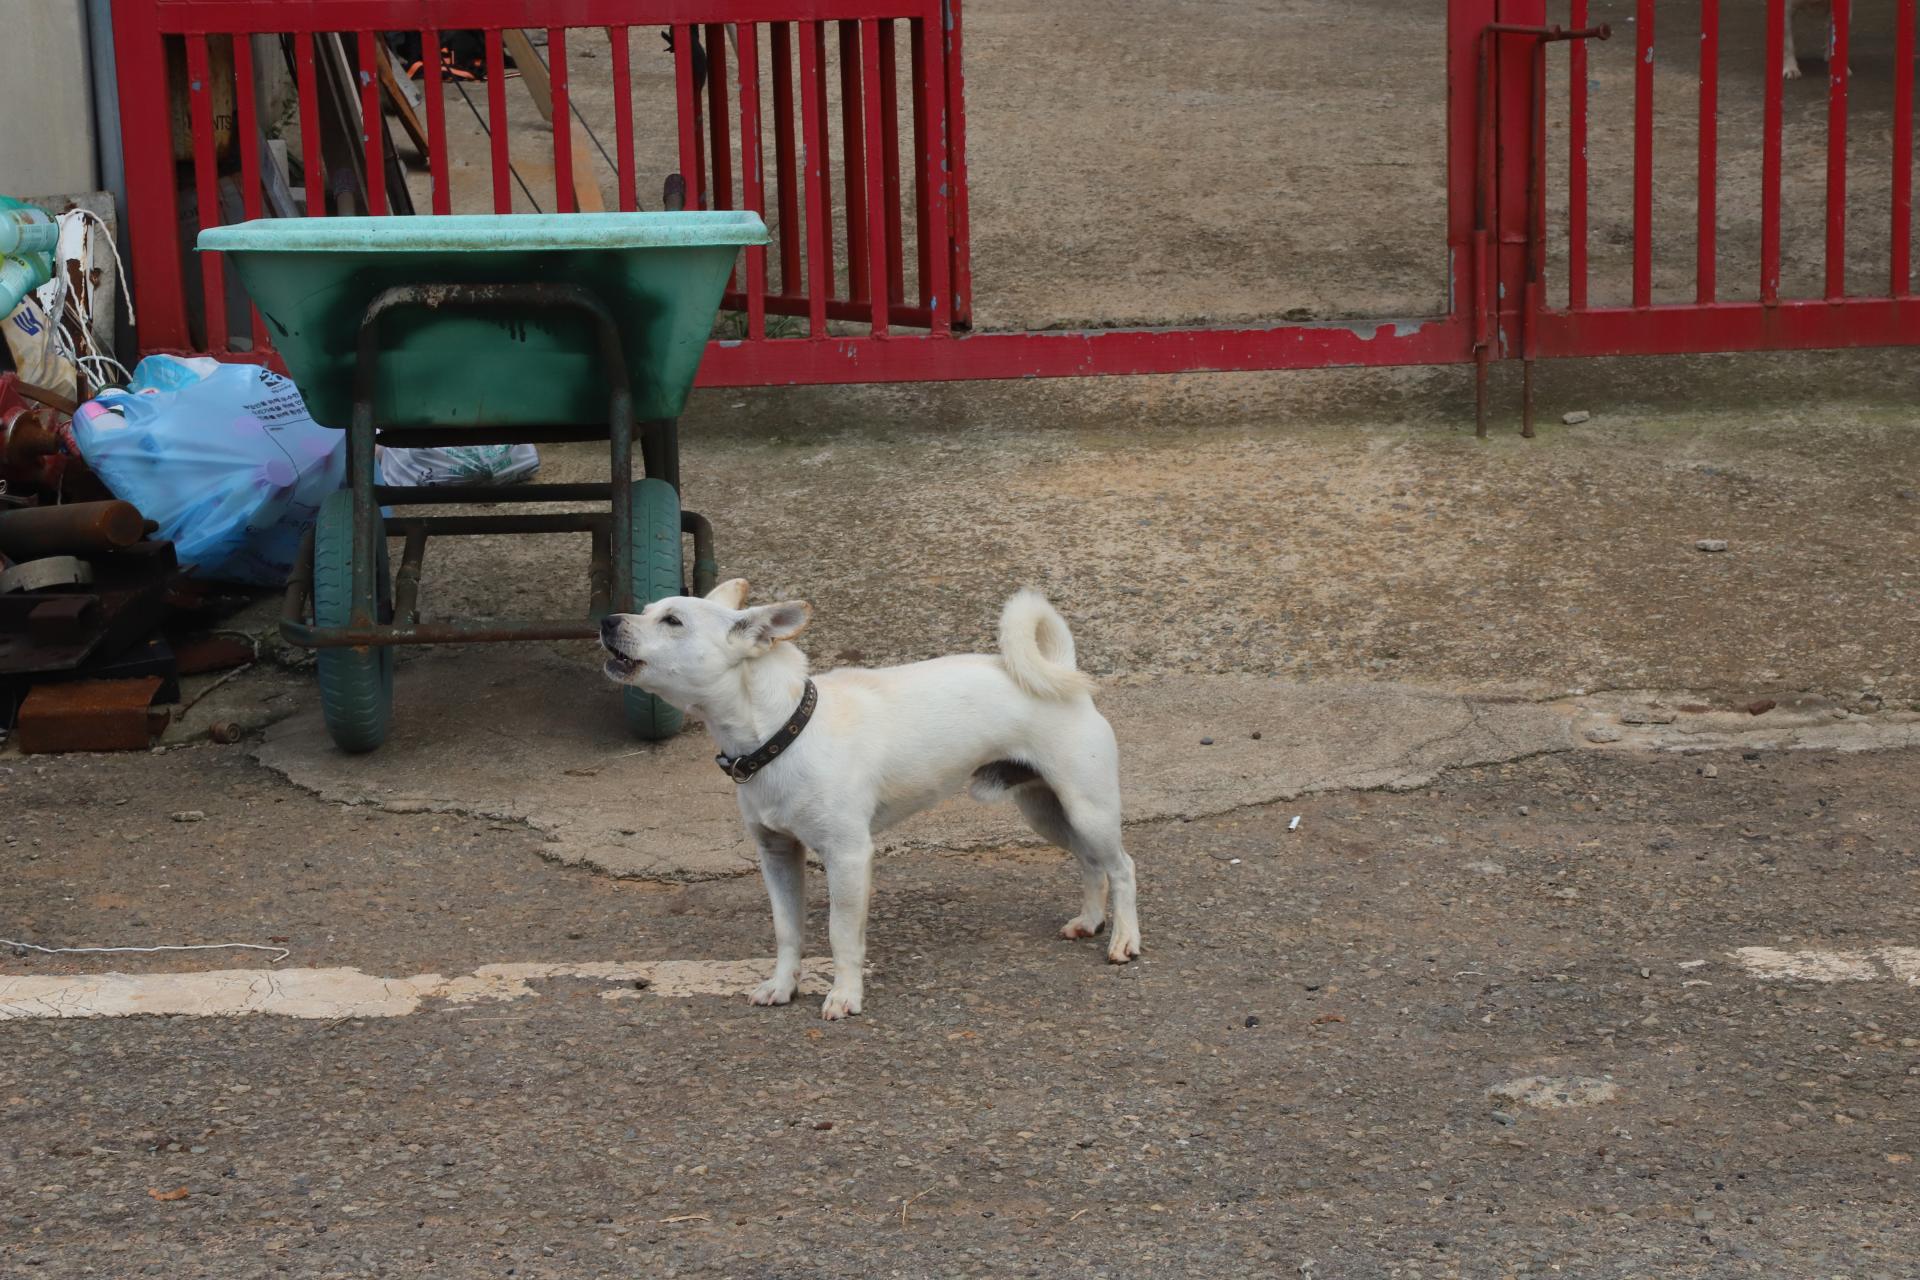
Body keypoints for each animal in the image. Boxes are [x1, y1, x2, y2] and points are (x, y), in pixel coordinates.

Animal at [601, 581, 1139, 1020]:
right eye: (646, 610)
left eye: (673, 621)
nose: (606, 620)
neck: (783, 732)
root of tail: (1063, 672)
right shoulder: (777, 856)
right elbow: (787, 929)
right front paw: (782, 985)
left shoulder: (847, 856)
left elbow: (841, 934)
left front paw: (845, 995)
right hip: (1047, 812)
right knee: (1090, 863)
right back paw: (1090, 921)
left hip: (1088, 809)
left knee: (1122, 866)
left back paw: (1124, 939)